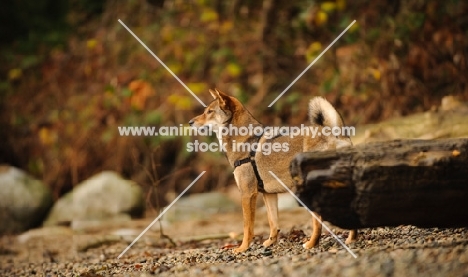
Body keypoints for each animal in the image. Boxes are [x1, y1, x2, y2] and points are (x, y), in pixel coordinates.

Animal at [188, 88, 356, 252]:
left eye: (209, 111)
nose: (190, 122)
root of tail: (334, 134)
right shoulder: (268, 195)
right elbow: (273, 222)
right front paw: (270, 242)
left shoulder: (247, 194)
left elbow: (248, 226)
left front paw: (242, 248)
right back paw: (351, 239)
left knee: (318, 222)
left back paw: (311, 244)